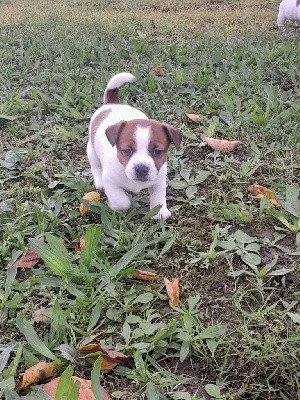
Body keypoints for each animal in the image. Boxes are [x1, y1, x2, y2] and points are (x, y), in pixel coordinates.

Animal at [85, 73, 182, 220]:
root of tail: (112, 104)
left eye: (157, 152)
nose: (141, 169)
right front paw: (115, 206)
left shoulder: (159, 180)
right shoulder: (110, 182)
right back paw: (99, 181)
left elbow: (159, 196)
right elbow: (121, 201)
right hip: (92, 150)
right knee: (95, 166)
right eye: (127, 150)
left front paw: (159, 212)